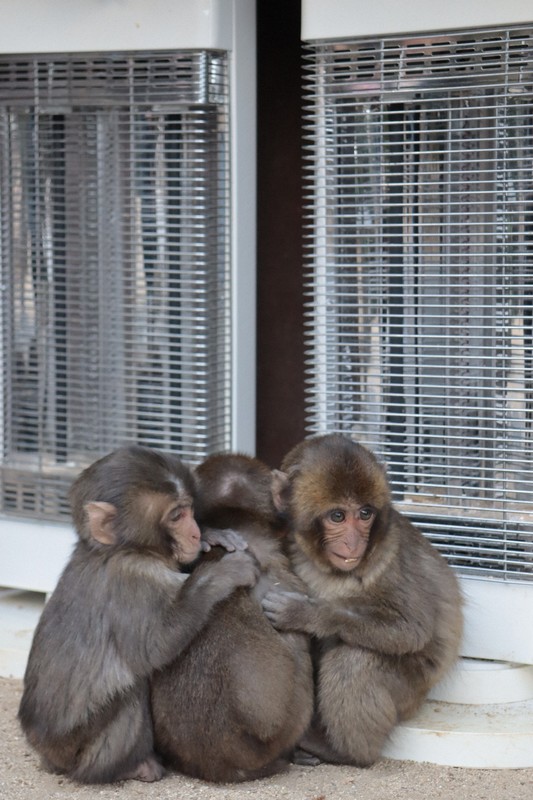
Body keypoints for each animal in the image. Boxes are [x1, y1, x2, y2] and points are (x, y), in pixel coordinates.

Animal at [17, 446, 258, 784]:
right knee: (131, 690)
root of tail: (45, 750)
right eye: (176, 516)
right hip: (83, 750)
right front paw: (221, 575)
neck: (122, 549)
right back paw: (128, 767)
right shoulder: (132, 581)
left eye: (189, 509)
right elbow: (153, 647)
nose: (195, 532)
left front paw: (212, 537)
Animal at [262, 438, 462, 768]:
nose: (354, 542)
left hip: (412, 690)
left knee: (354, 660)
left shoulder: (390, 557)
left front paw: (308, 613)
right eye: (338, 516)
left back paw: (345, 752)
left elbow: (411, 629)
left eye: (365, 513)